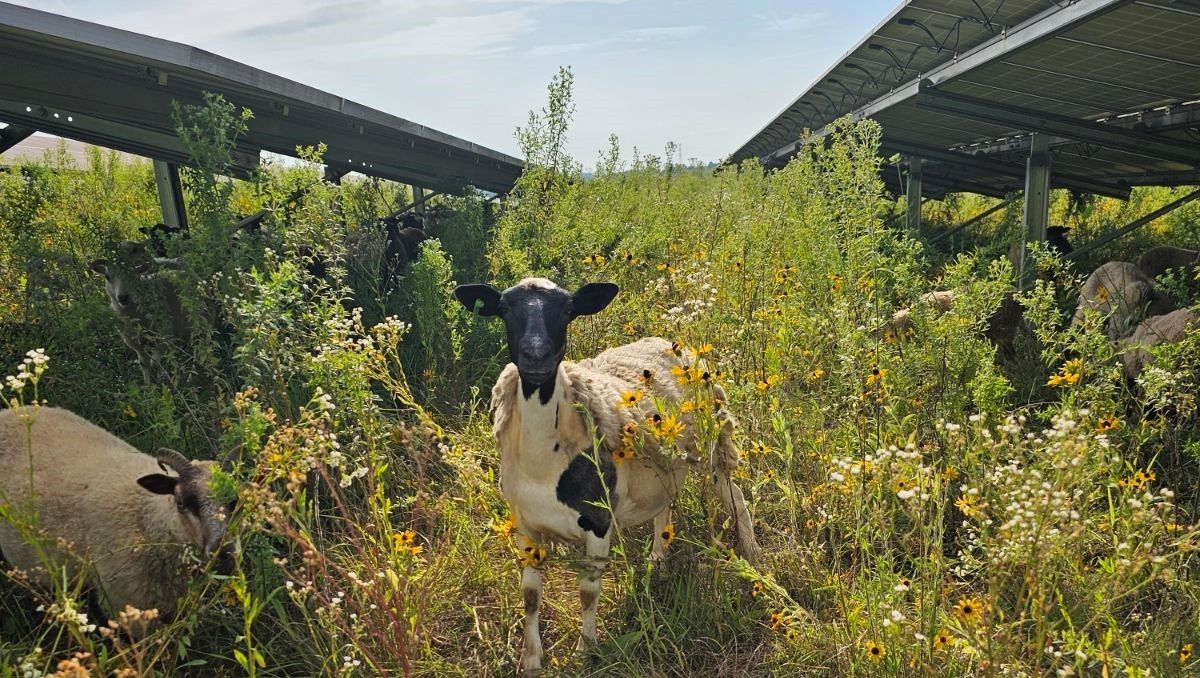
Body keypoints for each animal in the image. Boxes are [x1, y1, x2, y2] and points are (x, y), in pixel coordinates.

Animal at [0, 406, 234, 624]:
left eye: (234, 500)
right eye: (181, 502)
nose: (225, 553)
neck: (151, 518)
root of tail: (8, 411)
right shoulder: (125, 604)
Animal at [89, 240, 191, 385]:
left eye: (132, 273)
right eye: (107, 276)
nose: (123, 297)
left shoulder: (166, 335)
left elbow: (155, 362)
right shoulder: (134, 342)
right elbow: (144, 363)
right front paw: (149, 386)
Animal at [453, 278, 760, 675]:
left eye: (568, 309)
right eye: (505, 309)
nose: (536, 357)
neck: (543, 464)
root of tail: (671, 342)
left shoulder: (598, 521)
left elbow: (588, 592)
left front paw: (586, 651)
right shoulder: (525, 524)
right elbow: (530, 595)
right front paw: (532, 659)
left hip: (711, 446)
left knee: (735, 498)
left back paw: (751, 554)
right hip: (664, 463)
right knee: (664, 504)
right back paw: (658, 561)